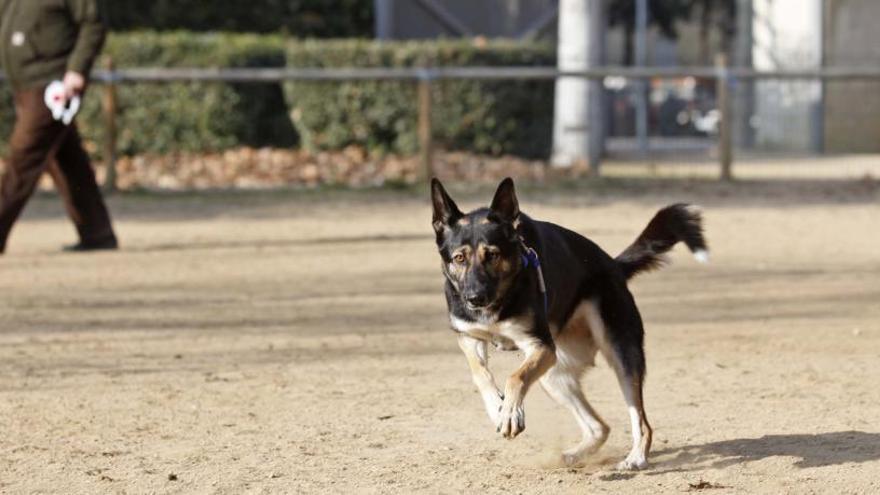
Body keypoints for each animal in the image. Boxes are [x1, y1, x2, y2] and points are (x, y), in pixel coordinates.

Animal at [428, 176, 708, 470]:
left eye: (492, 255)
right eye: (459, 258)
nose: (474, 298)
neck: (499, 299)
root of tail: (614, 266)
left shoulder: (540, 345)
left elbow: (515, 377)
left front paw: (510, 413)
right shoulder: (469, 337)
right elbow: (480, 374)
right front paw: (498, 409)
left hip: (619, 355)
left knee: (641, 422)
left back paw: (636, 457)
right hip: (553, 374)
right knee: (599, 428)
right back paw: (572, 456)